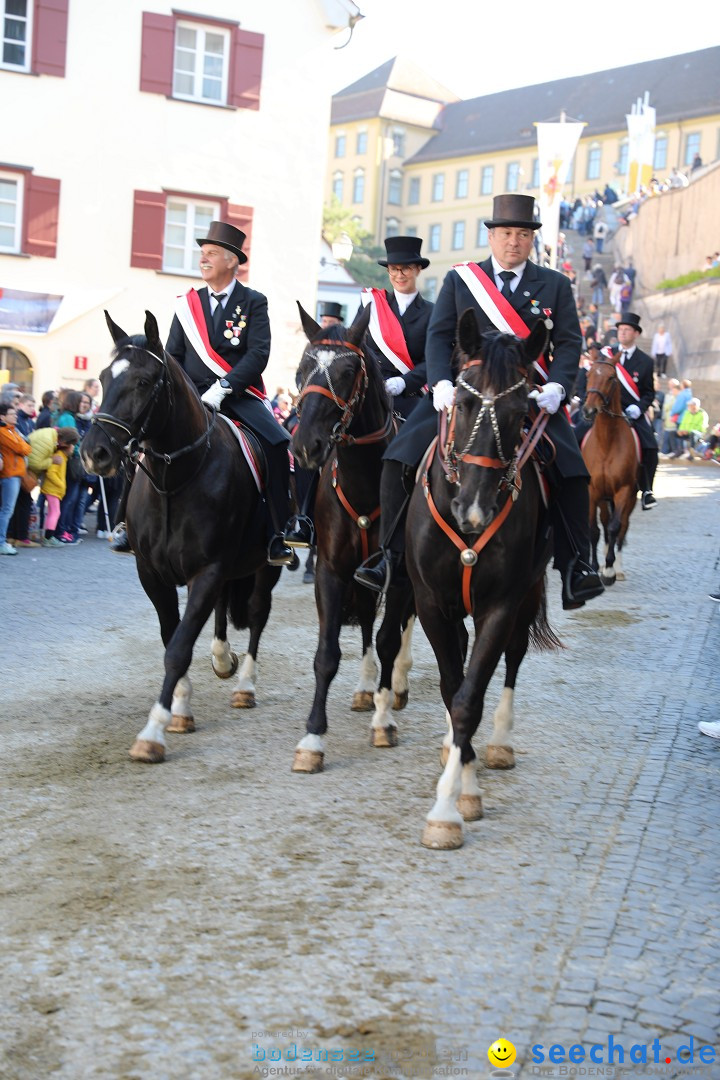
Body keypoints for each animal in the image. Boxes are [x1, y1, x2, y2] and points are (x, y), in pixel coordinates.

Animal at [80, 313, 280, 764]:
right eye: (102, 377)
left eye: (142, 381)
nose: (94, 453)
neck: (176, 479)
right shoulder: (152, 574)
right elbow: (172, 637)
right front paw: (181, 709)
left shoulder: (206, 571)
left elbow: (178, 648)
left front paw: (153, 732)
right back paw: (222, 659)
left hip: (266, 564)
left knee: (257, 613)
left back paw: (244, 684)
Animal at [289, 304, 416, 773]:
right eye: (303, 368)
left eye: (347, 372)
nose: (305, 447)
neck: (365, 481)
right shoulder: (332, 571)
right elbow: (327, 654)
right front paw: (312, 739)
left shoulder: (398, 576)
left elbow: (389, 639)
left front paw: (383, 721)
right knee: (363, 620)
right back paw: (366, 689)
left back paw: (393, 687)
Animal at [408, 313, 561, 851]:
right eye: (462, 401)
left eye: (521, 412)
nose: (472, 510)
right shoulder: (431, 603)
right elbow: (452, 686)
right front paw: (459, 781)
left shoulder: (500, 606)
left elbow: (469, 700)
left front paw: (451, 807)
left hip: (526, 597)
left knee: (511, 661)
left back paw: (497, 744)